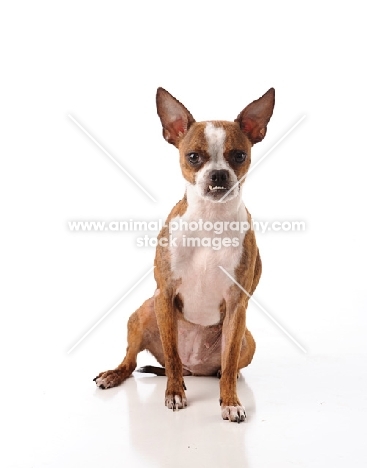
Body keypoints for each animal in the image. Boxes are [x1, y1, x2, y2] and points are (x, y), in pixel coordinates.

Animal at [95, 86, 276, 422]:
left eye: (239, 156)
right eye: (193, 157)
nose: (218, 174)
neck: (209, 220)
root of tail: (197, 368)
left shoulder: (236, 304)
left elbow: (229, 361)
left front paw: (230, 401)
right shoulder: (165, 295)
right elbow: (172, 355)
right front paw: (174, 393)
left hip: (248, 339)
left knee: (226, 365)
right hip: (143, 312)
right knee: (138, 361)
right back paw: (115, 375)